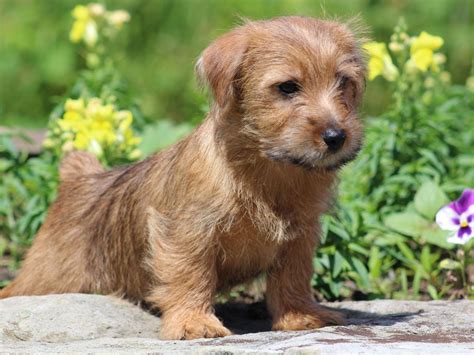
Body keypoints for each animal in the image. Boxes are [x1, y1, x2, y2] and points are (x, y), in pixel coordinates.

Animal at [0, 17, 366, 342]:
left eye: (343, 82)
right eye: (287, 87)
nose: (336, 136)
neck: (267, 170)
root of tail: (80, 179)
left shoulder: (300, 235)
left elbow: (293, 277)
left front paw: (300, 315)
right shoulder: (186, 232)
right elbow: (190, 275)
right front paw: (194, 322)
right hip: (48, 278)